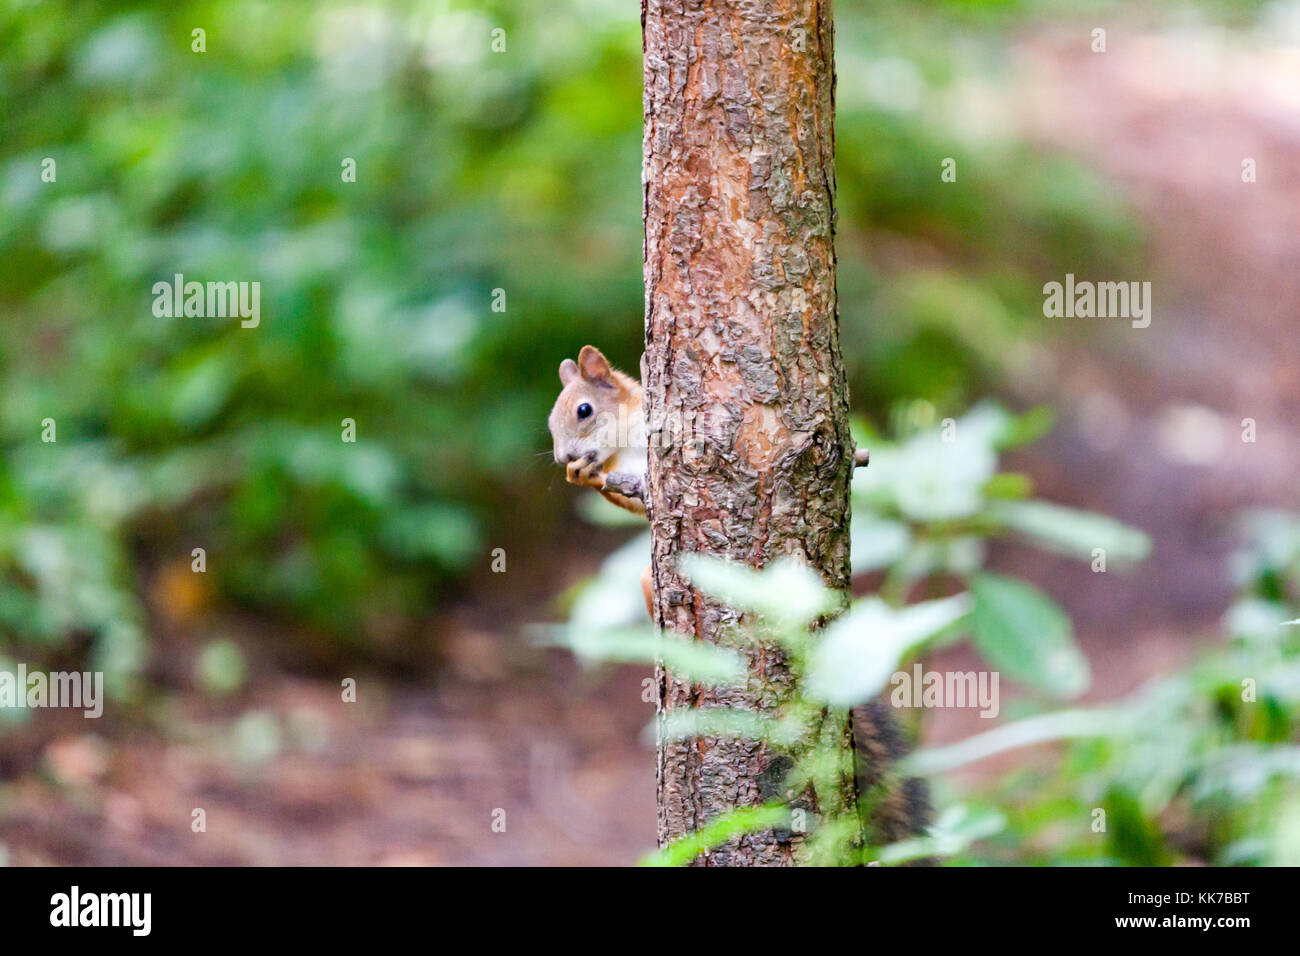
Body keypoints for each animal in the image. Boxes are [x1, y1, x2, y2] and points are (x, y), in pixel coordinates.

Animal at [548, 345, 935, 853]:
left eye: (584, 410)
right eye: (551, 425)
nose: (564, 457)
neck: (624, 442)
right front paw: (580, 475)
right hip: (648, 578)